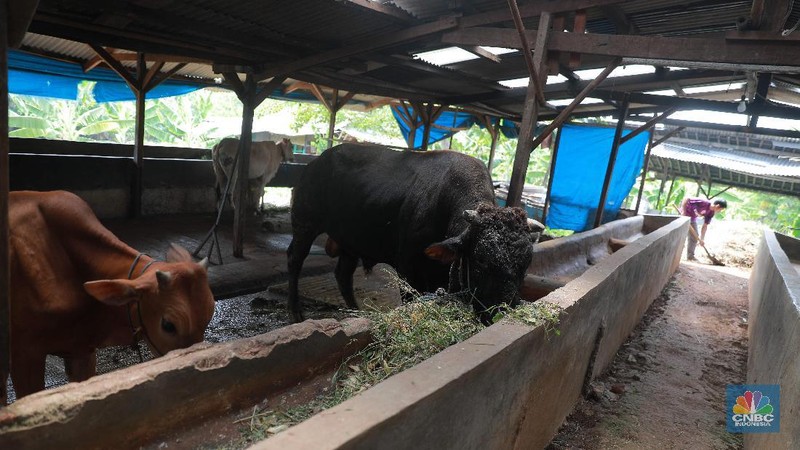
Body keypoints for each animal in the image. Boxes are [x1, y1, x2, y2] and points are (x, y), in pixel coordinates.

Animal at [288, 144, 544, 324]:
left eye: (525, 265)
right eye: (481, 260)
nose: (501, 310)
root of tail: (316, 162)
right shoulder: (407, 268)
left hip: (350, 240)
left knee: (342, 273)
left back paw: (356, 311)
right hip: (304, 224)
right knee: (295, 258)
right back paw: (295, 312)